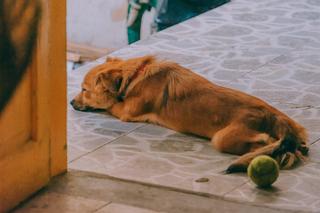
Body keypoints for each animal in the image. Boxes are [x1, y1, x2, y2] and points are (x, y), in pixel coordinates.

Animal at [71, 55, 308, 173]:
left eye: (84, 90)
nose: (71, 102)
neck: (136, 74)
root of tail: (273, 115)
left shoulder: (126, 112)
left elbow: (110, 105)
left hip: (222, 138)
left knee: (267, 140)